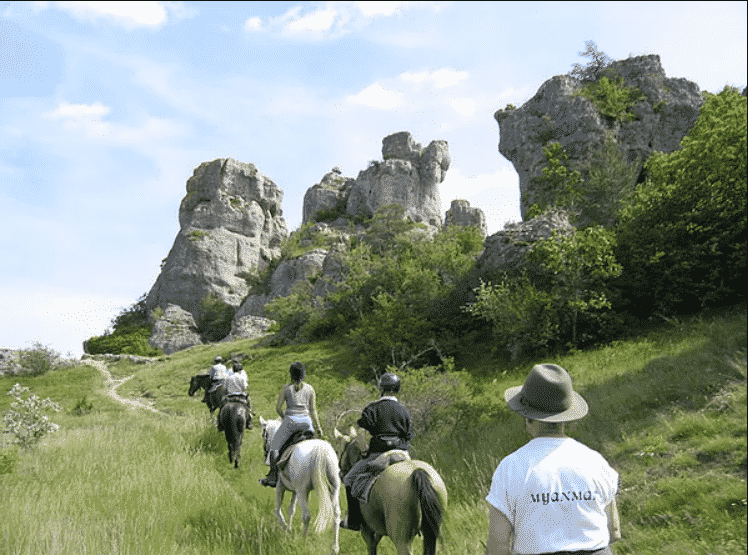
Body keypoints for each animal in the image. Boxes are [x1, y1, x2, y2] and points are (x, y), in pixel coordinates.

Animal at [258, 416, 338, 555]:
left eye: (264, 433)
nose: (265, 453)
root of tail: (320, 449)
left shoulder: (280, 486)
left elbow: (277, 510)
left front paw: (286, 529)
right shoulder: (295, 491)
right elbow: (291, 510)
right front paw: (288, 528)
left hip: (302, 492)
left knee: (306, 516)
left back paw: (303, 541)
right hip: (333, 490)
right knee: (336, 515)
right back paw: (335, 548)